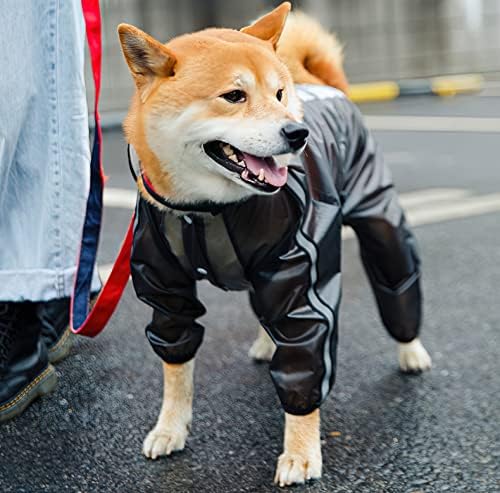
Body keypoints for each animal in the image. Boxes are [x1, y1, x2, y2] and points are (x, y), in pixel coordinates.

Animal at [116, 2, 430, 484]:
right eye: (234, 96)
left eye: (279, 94)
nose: (297, 133)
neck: (208, 210)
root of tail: (324, 87)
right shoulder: (163, 287)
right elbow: (176, 367)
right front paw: (170, 428)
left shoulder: (302, 276)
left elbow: (303, 368)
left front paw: (301, 451)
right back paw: (267, 345)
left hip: (380, 223)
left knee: (397, 278)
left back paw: (411, 349)